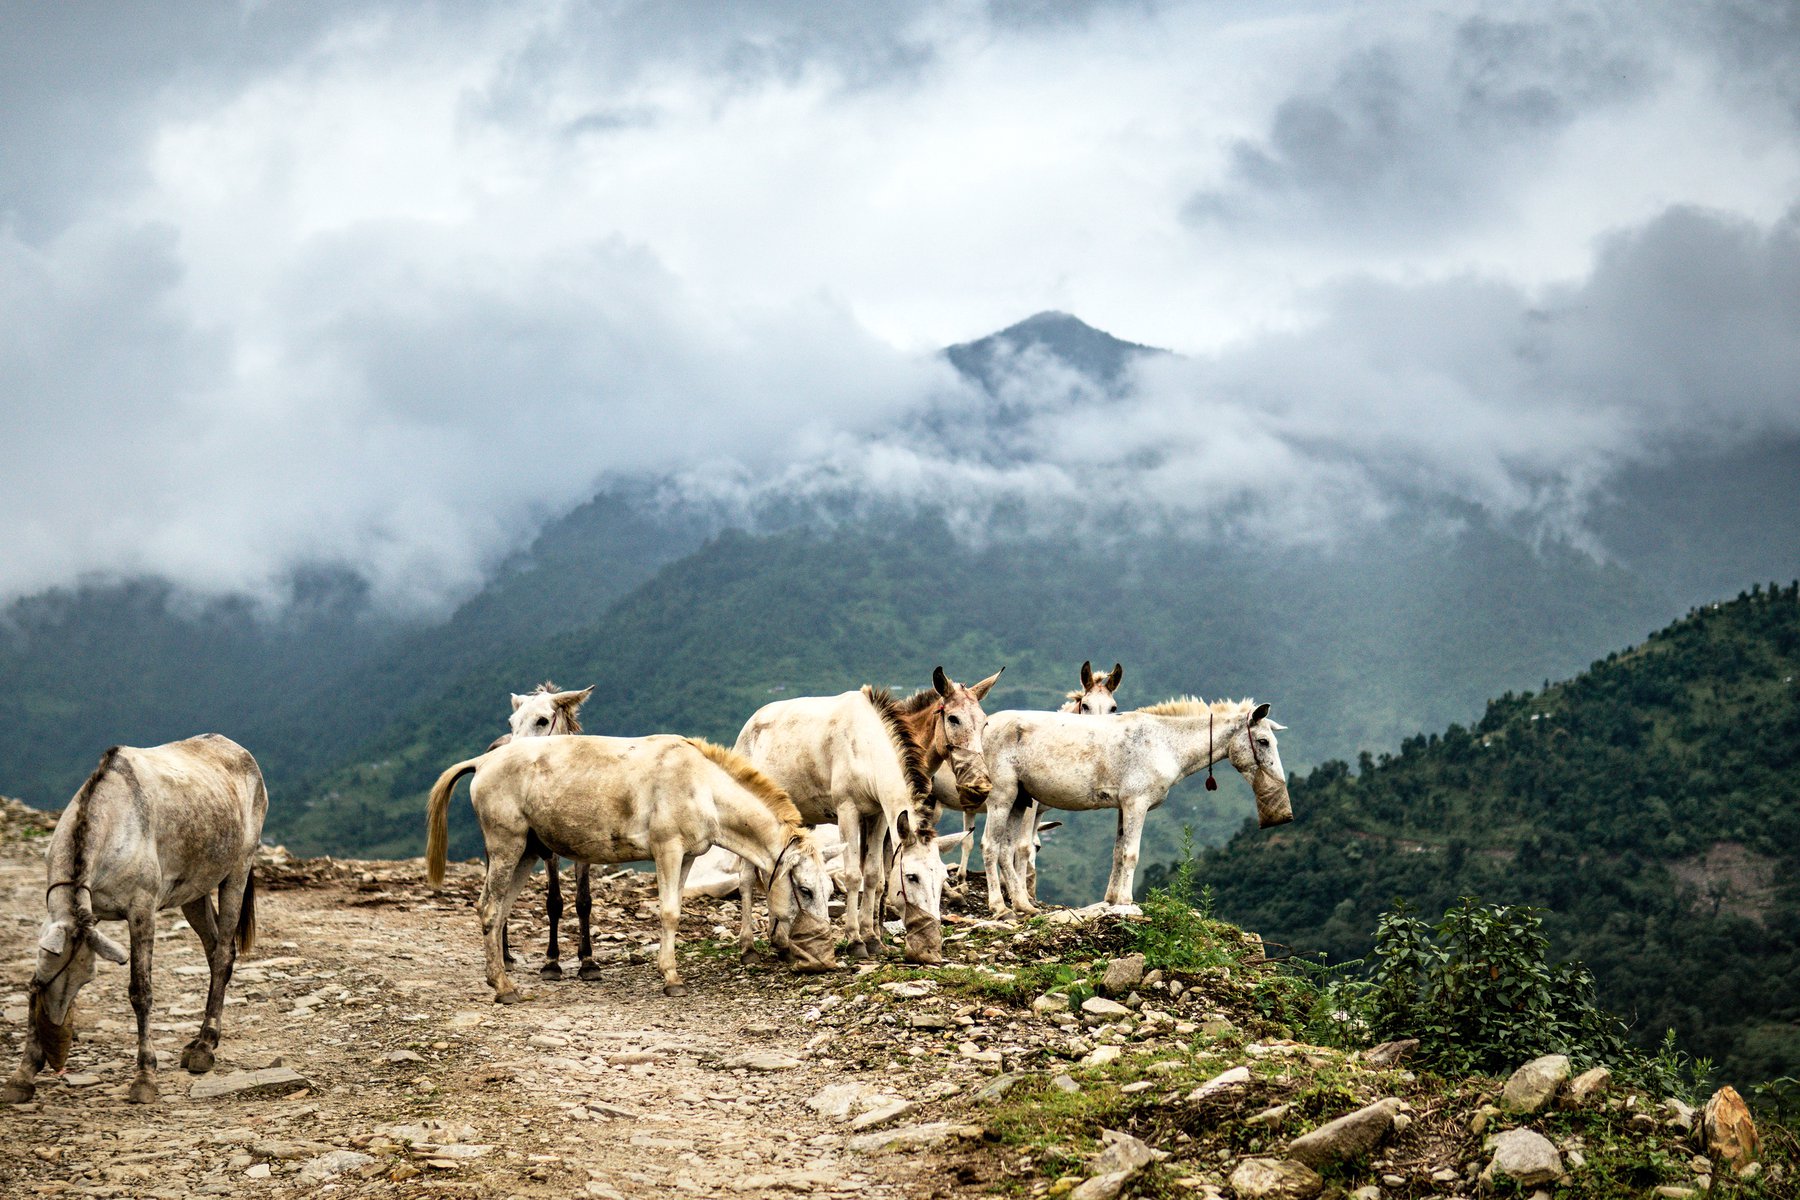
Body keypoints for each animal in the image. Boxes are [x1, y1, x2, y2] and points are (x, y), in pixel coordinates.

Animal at [1, 737, 266, 1115]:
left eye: (88, 978)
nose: (57, 1035)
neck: (110, 820)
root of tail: (239, 751)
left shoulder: (142, 910)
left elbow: (141, 992)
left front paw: (145, 1078)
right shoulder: (72, 914)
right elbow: (34, 981)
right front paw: (22, 1076)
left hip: (238, 870)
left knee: (223, 954)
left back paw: (205, 1047)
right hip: (195, 890)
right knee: (214, 946)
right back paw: (199, 1041)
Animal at [979, 698, 1288, 913]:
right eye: (1263, 741)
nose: (1279, 781)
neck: (1164, 743)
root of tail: (984, 725)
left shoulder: (1122, 807)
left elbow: (1118, 852)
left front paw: (1112, 900)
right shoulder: (1136, 804)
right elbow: (1131, 854)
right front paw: (1126, 901)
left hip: (1019, 800)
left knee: (1006, 849)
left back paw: (1023, 905)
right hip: (1002, 796)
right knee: (990, 845)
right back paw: (999, 907)